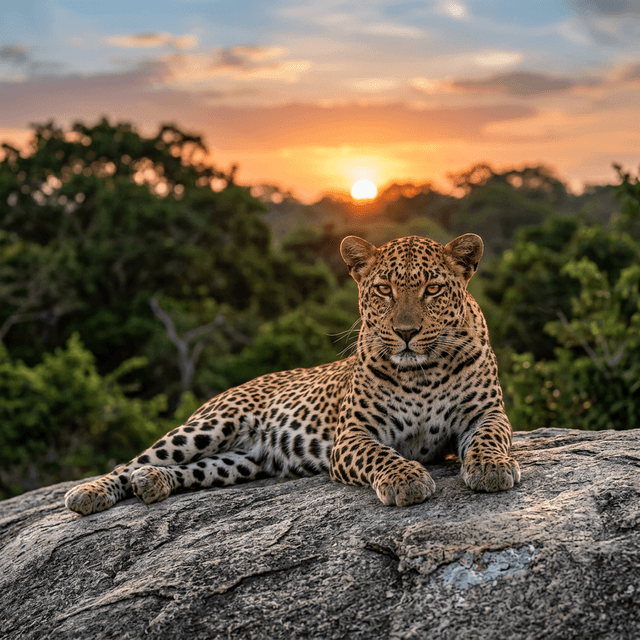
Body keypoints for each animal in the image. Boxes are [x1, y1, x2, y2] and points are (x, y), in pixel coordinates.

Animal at [65, 233, 520, 515]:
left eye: (432, 290)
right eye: (384, 290)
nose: (405, 333)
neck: (422, 373)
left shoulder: (486, 413)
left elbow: (489, 437)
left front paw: (492, 467)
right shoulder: (353, 434)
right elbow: (381, 455)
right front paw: (406, 478)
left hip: (240, 462)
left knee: (188, 469)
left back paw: (152, 483)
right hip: (210, 425)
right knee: (133, 462)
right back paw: (90, 492)